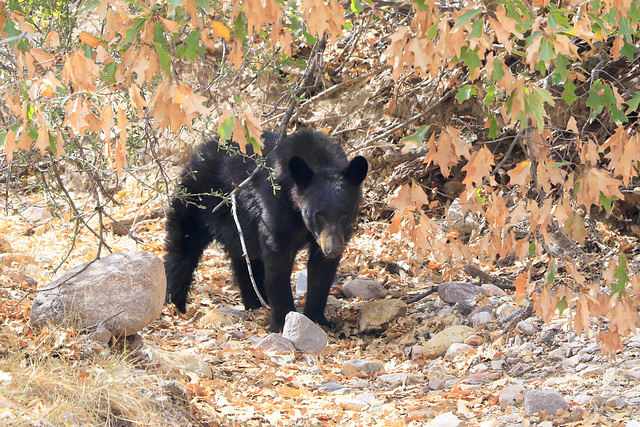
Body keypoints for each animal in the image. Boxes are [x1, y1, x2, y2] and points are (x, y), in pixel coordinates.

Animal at [162, 130, 368, 332]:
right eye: (318, 215)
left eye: (344, 214)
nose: (333, 249)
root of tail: (202, 150)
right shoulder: (275, 210)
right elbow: (277, 263)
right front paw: (282, 321)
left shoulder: (330, 236)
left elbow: (321, 271)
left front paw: (319, 319)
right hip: (195, 201)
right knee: (182, 249)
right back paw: (174, 304)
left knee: (245, 261)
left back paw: (255, 304)